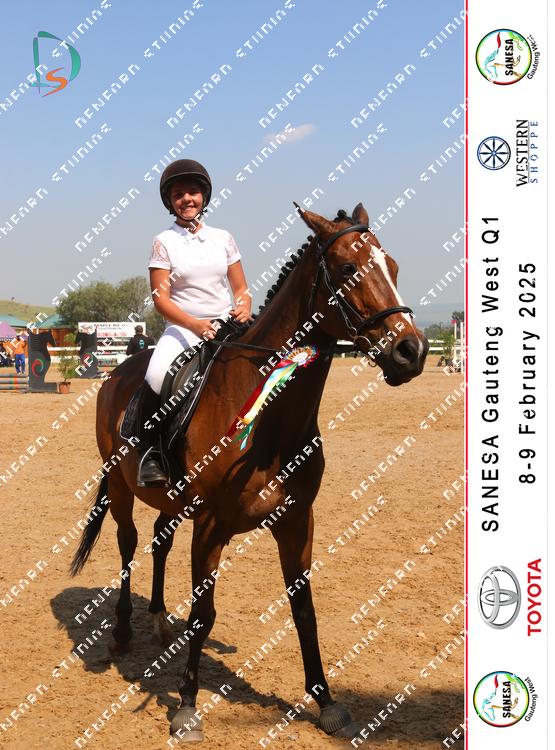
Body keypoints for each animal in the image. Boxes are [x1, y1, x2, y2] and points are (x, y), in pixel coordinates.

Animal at [70, 202, 429, 742]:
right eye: (348, 269)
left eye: (394, 267)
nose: (412, 351)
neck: (270, 424)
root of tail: (117, 372)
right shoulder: (211, 525)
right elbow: (203, 615)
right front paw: (186, 707)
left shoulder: (297, 520)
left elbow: (304, 610)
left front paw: (327, 702)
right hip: (120, 485)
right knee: (129, 543)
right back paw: (122, 631)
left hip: (173, 502)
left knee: (158, 540)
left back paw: (158, 622)